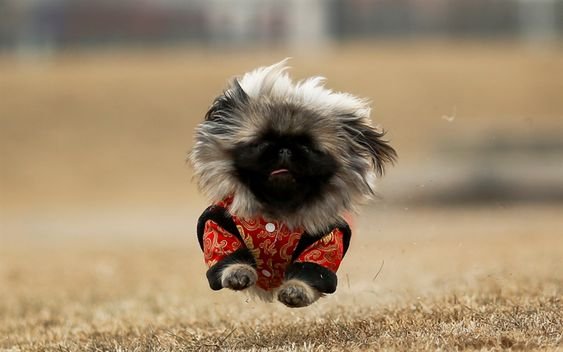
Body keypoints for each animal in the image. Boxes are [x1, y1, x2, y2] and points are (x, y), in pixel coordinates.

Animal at [189, 60, 396, 308]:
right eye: (262, 143)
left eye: (307, 147)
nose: (285, 149)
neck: (277, 212)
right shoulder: (218, 227)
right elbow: (230, 258)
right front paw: (238, 273)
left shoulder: (324, 244)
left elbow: (309, 273)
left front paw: (296, 291)